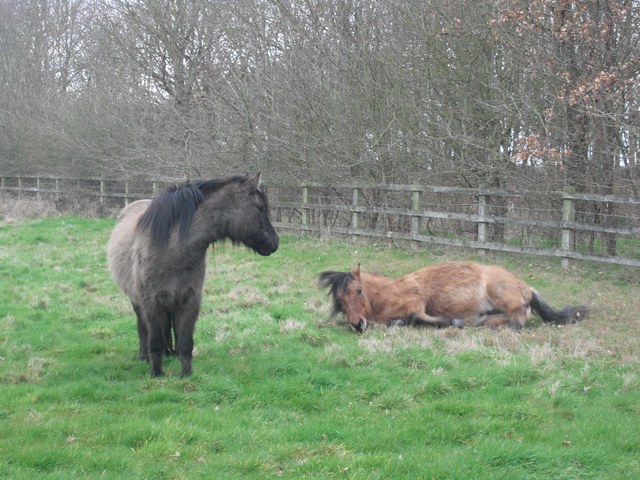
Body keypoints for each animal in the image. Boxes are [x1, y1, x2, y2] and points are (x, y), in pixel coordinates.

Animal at [107, 174, 279, 377]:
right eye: (260, 207)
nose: (275, 242)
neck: (171, 250)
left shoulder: (190, 301)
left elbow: (186, 341)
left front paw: (186, 374)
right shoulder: (152, 302)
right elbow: (155, 340)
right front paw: (157, 374)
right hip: (137, 301)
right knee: (143, 328)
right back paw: (144, 357)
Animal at [318, 262, 588, 333]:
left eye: (358, 291)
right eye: (340, 300)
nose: (357, 325)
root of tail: (527, 287)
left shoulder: (418, 306)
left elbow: (416, 317)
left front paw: (455, 323)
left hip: (501, 293)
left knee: (519, 319)